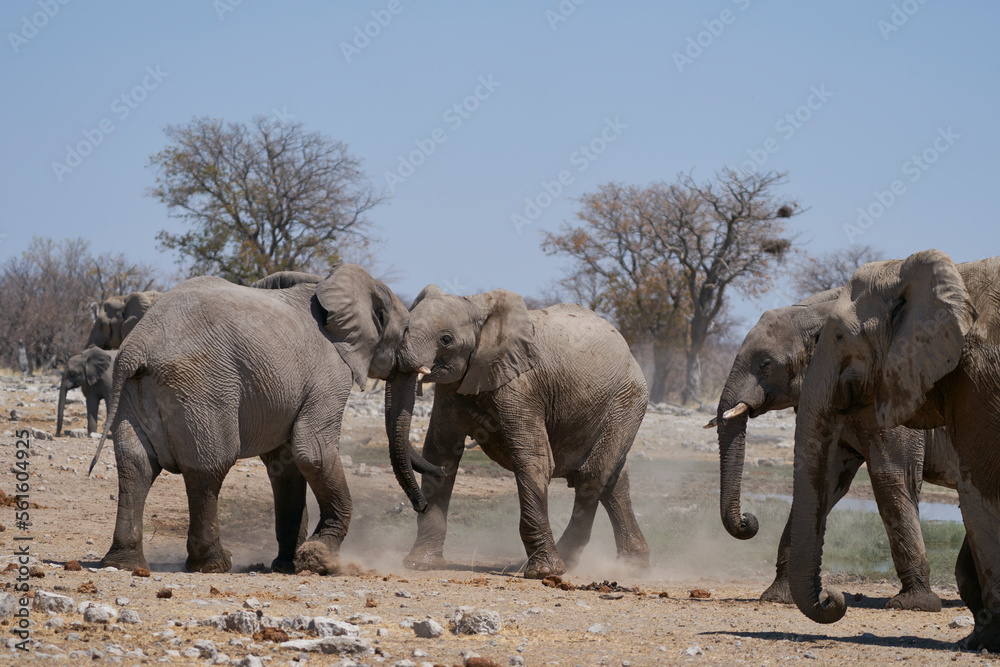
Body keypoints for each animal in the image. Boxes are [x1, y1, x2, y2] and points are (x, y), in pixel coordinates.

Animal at [88, 265, 434, 575]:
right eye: (405, 332)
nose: (422, 506)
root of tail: (137, 347)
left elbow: (287, 465)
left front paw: (288, 566)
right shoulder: (330, 373)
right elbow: (313, 452)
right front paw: (319, 559)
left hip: (133, 392)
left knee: (135, 465)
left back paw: (125, 563)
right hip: (201, 388)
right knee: (208, 468)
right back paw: (213, 565)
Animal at [385, 285, 650, 579]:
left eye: (446, 339)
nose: (418, 505)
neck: (479, 307)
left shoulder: (522, 386)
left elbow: (532, 459)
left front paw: (543, 572)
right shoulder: (451, 389)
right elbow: (440, 453)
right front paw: (420, 565)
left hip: (627, 400)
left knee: (591, 476)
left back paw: (565, 562)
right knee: (614, 481)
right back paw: (632, 568)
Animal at [712, 288, 959, 611]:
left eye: (765, 363)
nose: (748, 520)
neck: (821, 308)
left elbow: (892, 478)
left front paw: (913, 604)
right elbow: (824, 483)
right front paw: (778, 597)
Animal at [787, 249, 1000, 650]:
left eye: (838, 335)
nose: (833, 597)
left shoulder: (979, 378)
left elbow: (977, 488)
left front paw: (986, 641)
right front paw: (977, 640)